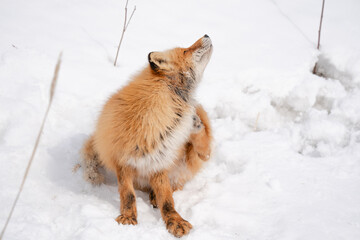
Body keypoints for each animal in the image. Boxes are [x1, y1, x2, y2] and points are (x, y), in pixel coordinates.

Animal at [81, 34, 214, 237]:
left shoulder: (160, 162)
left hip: (190, 160)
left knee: (200, 155)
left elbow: (167, 200)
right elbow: (128, 195)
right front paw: (128, 218)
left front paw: (174, 220)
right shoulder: (122, 160)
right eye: (185, 50)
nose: (206, 35)